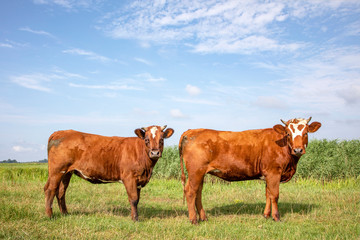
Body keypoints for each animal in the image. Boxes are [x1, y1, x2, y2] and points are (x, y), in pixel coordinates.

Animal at [44, 125, 174, 221]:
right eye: (146, 140)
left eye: (161, 140)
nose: (155, 153)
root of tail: (60, 132)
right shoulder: (129, 178)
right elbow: (133, 199)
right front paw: (135, 219)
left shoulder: (139, 180)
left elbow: (137, 199)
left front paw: (134, 216)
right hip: (57, 170)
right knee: (50, 189)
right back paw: (50, 216)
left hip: (67, 173)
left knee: (61, 192)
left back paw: (65, 213)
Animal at [179, 117, 320, 224]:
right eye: (288, 134)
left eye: (306, 133)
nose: (298, 150)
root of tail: (191, 131)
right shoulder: (274, 172)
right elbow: (275, 195)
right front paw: (276, 217)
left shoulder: (267, 174)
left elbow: (268, 194)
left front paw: (266, 215)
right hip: (196, 171)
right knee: (191, 192)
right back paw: (194, 220)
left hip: (199, 173)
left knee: (198, 192)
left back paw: (203, 217)